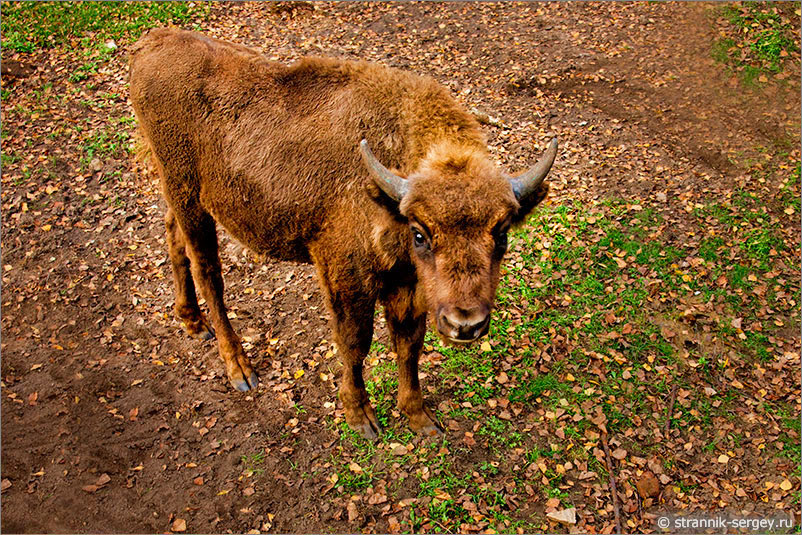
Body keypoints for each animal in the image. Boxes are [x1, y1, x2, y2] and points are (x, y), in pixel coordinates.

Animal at [130, 28, 556, 440]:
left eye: (502, 234)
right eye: (420, 234)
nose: (464, 324)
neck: (389, 185)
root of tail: (151, 43)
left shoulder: (406, 284)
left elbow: (409, 344)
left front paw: (419, 419)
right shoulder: (348, 278)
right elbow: (355, 344)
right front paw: (361, 417)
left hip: (182, 197)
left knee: (173, 236)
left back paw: (191, 322)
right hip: (187, 195)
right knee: (208, 273)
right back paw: (240, 369)